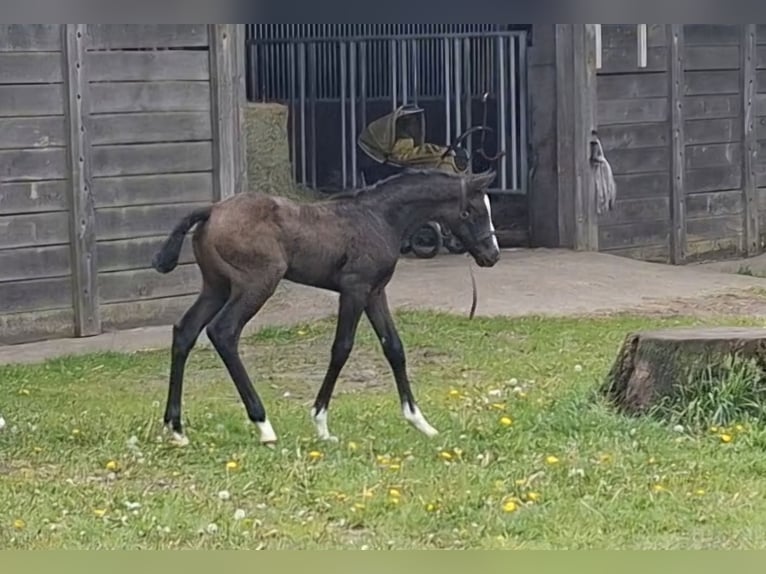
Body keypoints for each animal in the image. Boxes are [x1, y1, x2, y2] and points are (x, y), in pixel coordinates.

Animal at [151, 168, 501, 447]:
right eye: (472, 211)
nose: (492, 255)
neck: (379, 218)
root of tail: (211, 210)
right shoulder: (354, 290)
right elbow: (341, 348)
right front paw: (320, 422)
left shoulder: (375, 292)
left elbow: (394, 348)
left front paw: (420, 422)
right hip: (256, 285)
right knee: (223, 332)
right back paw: (263, 425)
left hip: (216, 287)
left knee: (185, 331)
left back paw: (176, 428)